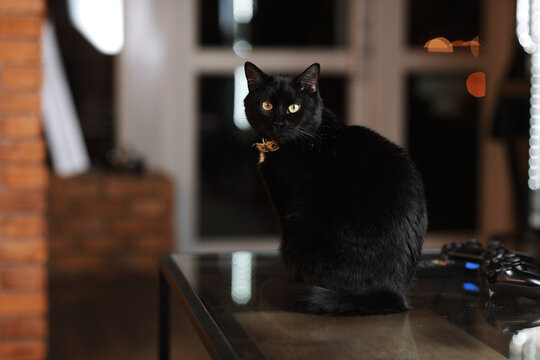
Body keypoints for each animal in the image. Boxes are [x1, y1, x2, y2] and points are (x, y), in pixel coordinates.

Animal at [245, 62, 426, 316]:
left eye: (293, 108)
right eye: (266, 106)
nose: (278, 123)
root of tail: (393, 293)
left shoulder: (284, 204)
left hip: (298, 231)